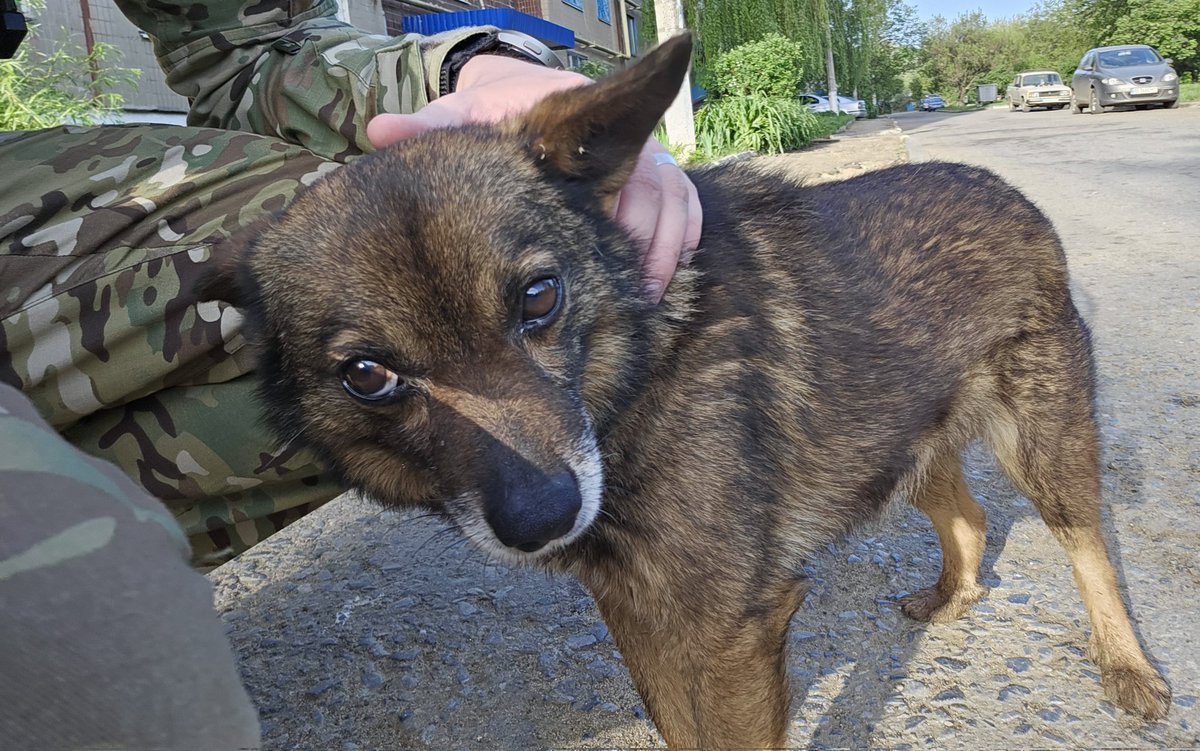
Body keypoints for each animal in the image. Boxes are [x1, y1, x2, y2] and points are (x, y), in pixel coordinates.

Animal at [199, 33, 1171, 743]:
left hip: (1043, 443)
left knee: (1088, 545)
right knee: (965, 516)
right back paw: (948, 595)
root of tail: (1003, 188)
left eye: (538, 297)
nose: (543, 515)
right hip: (900, 440)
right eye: (368, 374)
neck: (635, 380)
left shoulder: (729, 632)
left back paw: (1128, 669)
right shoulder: (641, 616)